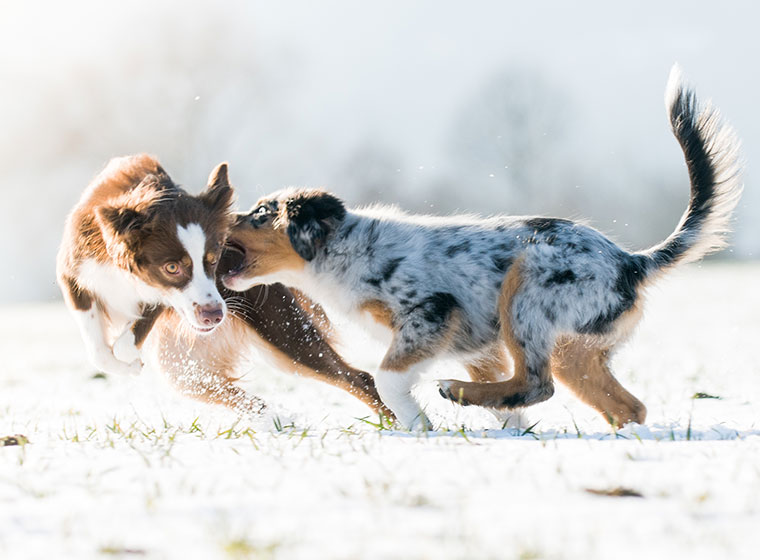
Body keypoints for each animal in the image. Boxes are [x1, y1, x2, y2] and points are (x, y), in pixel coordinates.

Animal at [220, 68, 744, 430]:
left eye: (259, 213)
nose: (223, 216)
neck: (343, 250)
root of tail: (632, 262)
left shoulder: (431, 312)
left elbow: (387, 378)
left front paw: (418, 425)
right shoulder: (478, 345)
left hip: (527, 292)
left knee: (537, 384)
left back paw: (454, 391)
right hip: (572, 349)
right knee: (626, 406)